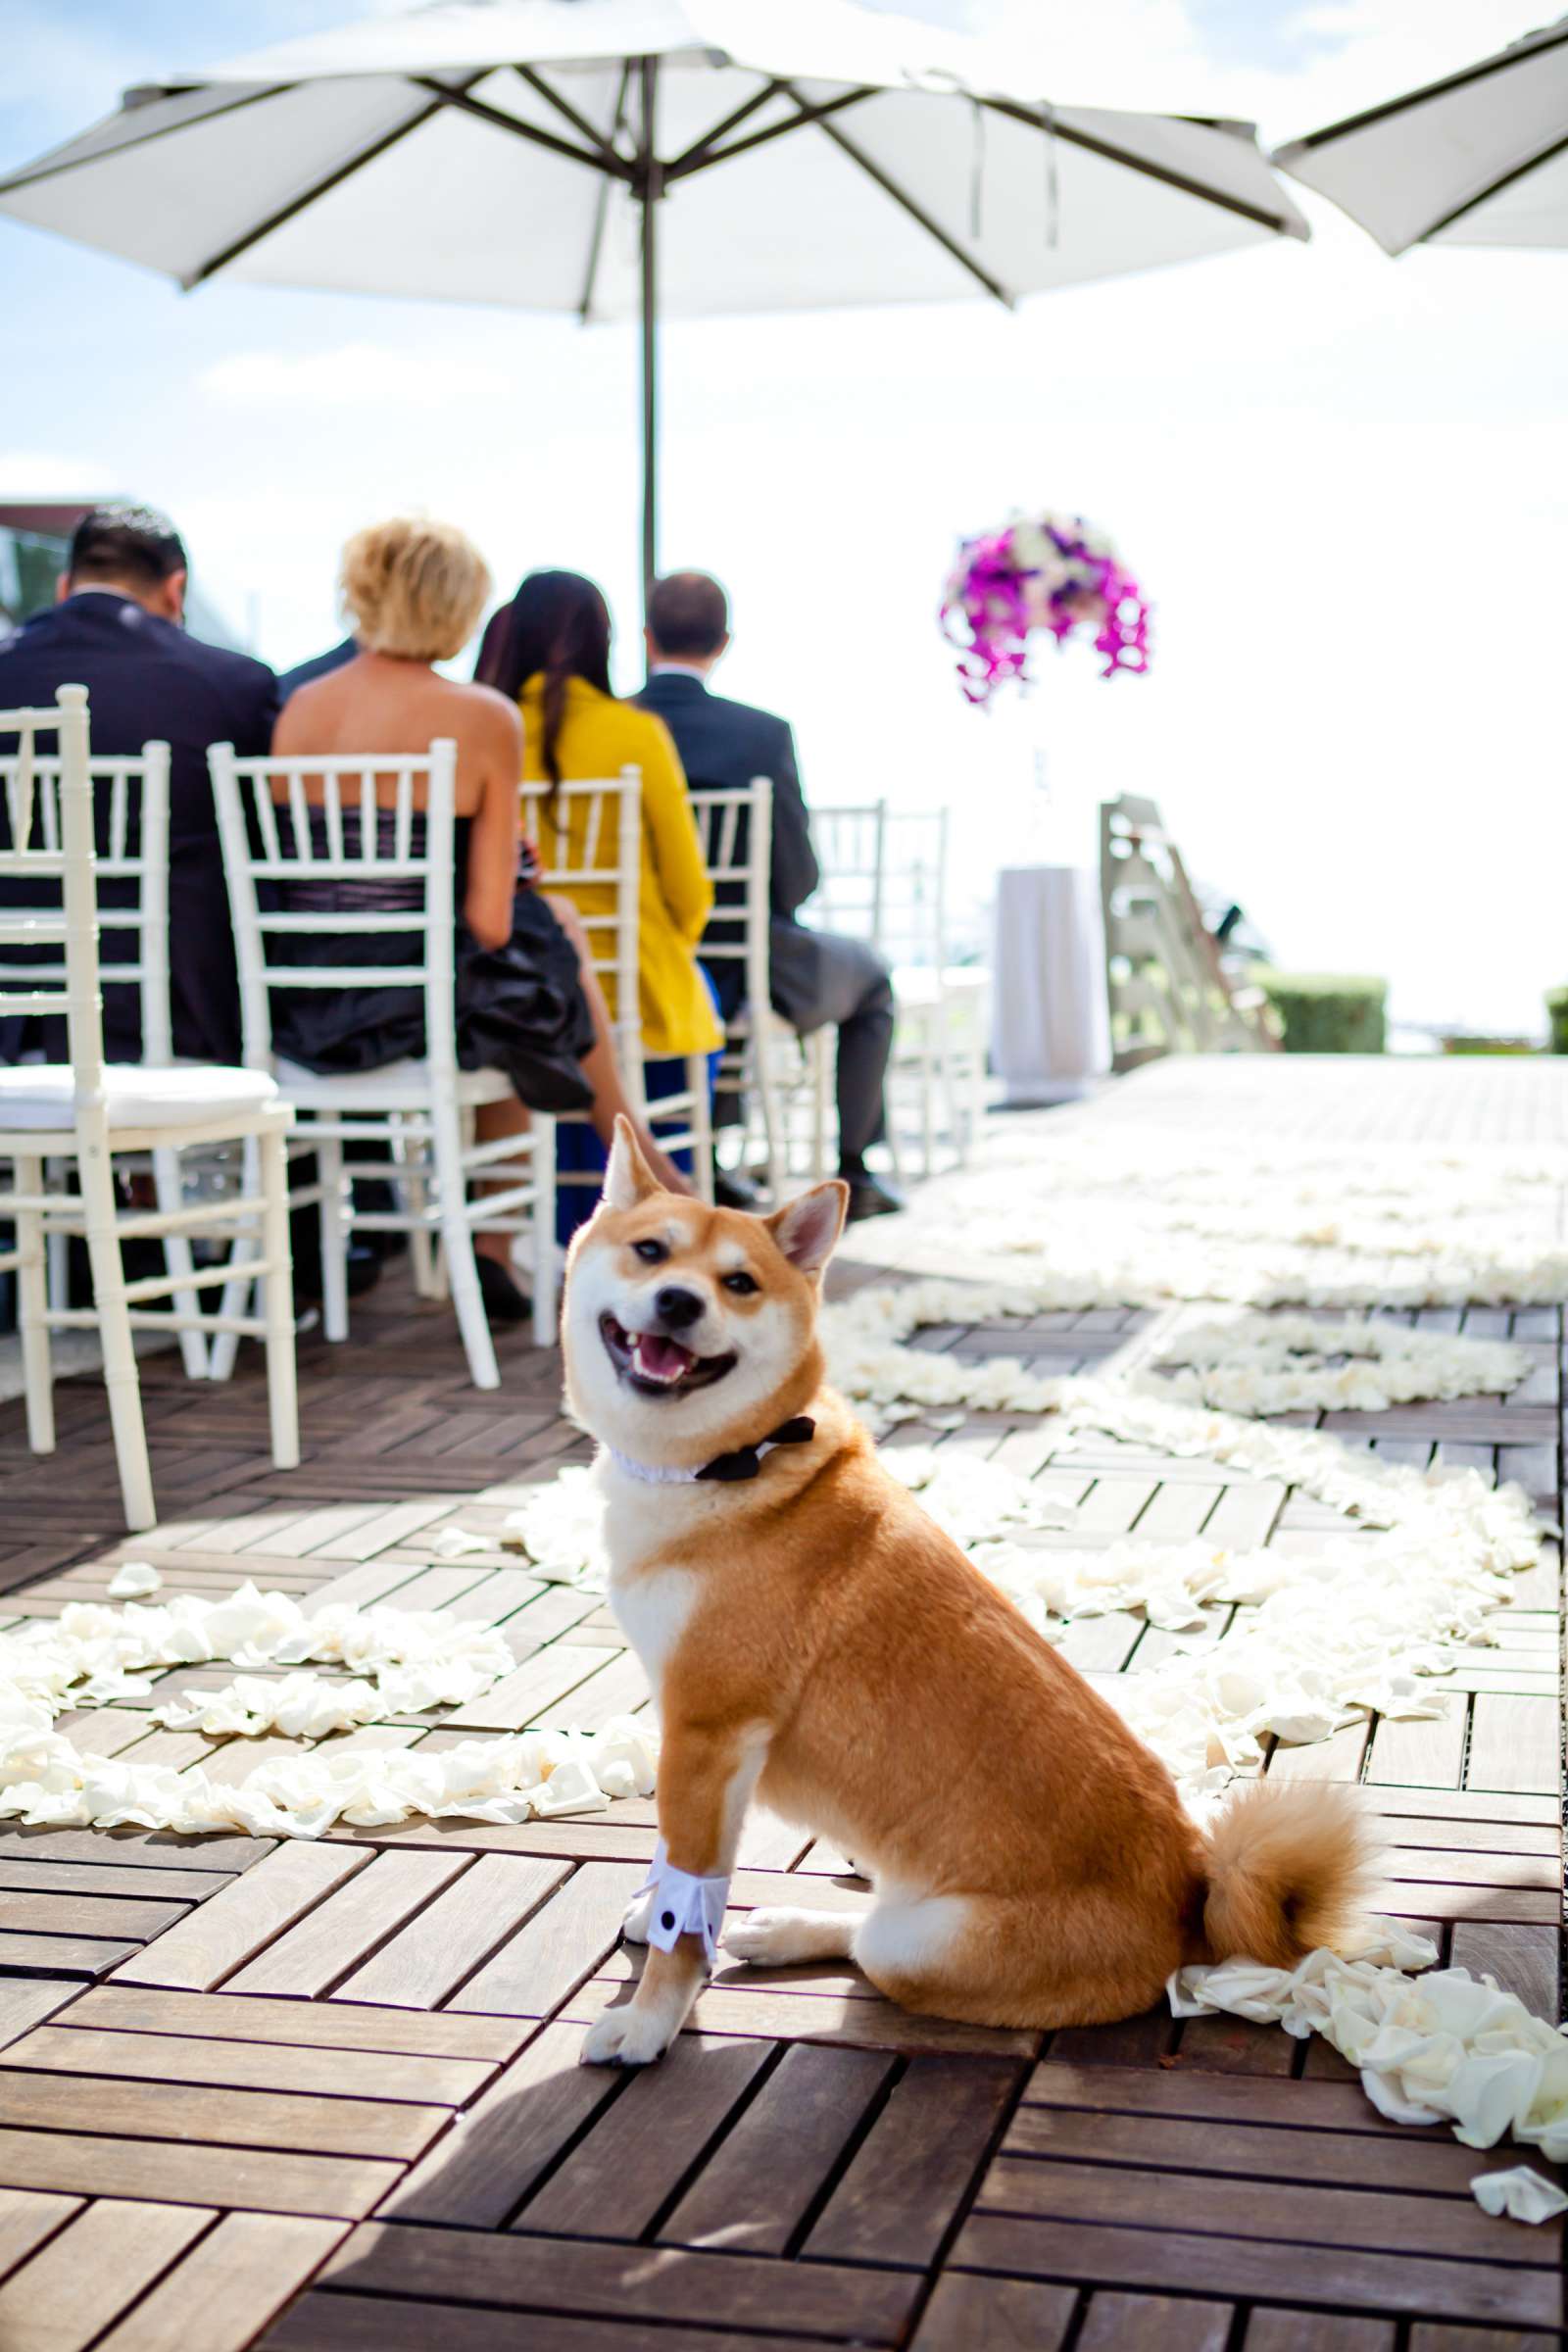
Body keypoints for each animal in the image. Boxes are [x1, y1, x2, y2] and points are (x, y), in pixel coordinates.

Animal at [570, 1119, 1363, 2060]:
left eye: (739, 1283)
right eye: (651, 1251)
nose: (680, 1303)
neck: (736, 1466)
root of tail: (1190, 1898)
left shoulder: (706, 1733)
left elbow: (686, 1911)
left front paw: (652, 2018)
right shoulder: (699, 1747)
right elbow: (679, 1875)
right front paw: (652, 1918)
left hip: (921, 1943)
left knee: (870, 1942)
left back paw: (792, 1929)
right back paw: (787, 1922)